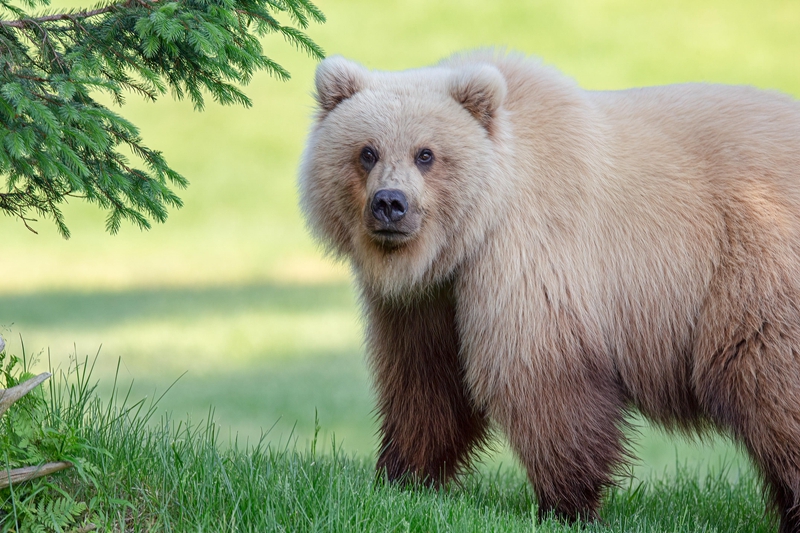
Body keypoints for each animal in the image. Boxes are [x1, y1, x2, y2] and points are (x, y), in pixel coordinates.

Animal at [296, 48, 800, 528]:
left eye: (426, 153)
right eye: (367, 151)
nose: (390, 204)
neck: (465, 238)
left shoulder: (530, 253)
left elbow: (540, 378)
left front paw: (567, 506)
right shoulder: (427, 300)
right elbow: (425, 380)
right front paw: (402, 478)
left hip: (754, 266)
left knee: (769, 382)